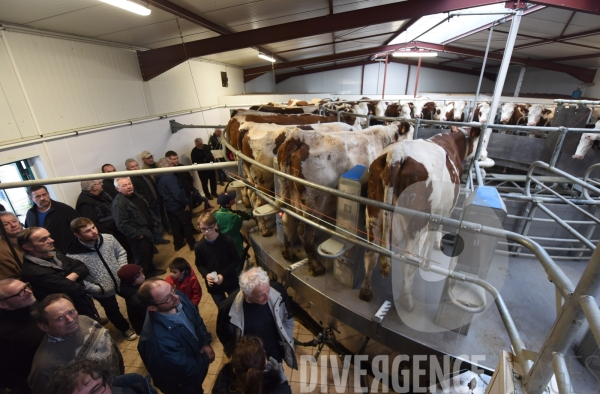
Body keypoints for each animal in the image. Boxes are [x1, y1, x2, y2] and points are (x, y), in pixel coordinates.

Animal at [276, 124, 412, 276]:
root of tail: (298, 136)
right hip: (313, 203)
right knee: (305, 233)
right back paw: (316, 266)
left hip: (289, 193)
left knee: (287, 219)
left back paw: (288, 253)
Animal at [358, 124, 480, 306]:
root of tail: (397, 154)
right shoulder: (444, 211)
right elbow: (436, 232)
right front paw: (435, 250)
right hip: (417, 224)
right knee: (408, 261)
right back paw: (407, 301)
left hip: (373, 216)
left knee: (370, 253)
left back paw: (365, 291)